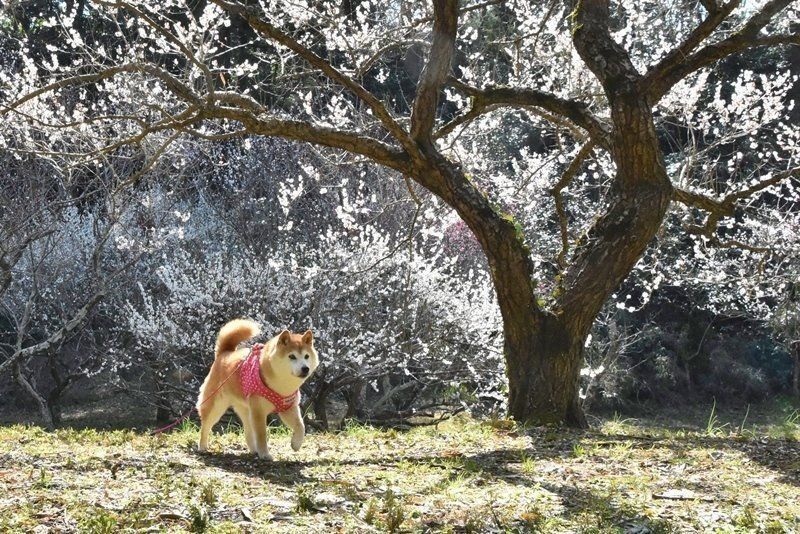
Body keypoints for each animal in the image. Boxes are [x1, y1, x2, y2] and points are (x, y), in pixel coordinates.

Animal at [196, 319, 319, 460]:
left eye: (306, 356)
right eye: (292, 356)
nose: (305, 368)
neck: (282, 386)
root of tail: (225, 353)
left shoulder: (288, 408)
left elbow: (301, 426)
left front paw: (296, 444)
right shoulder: (259, 411)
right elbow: (261, 434)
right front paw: (265, 454)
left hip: (246, 409)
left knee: (248, 431)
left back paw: (254, 450)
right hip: (216, 405)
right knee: (205, 426)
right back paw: (202, 446)